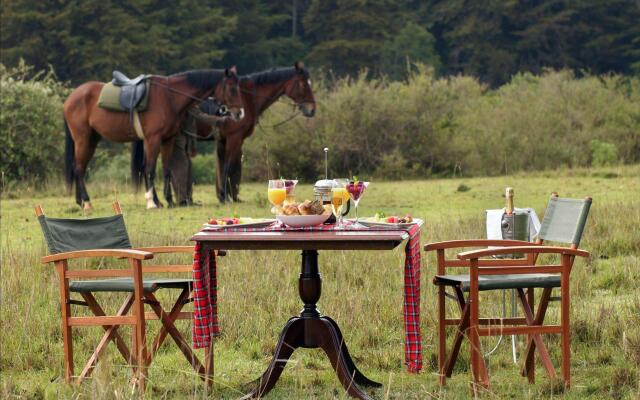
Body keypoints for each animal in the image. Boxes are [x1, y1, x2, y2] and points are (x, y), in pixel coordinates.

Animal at [64, 66, 245, 209]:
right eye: (231, 88)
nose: (239, 114)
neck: (169, 97)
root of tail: (71, 98)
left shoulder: (167, 139)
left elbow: (166, 170)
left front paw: (169, 201)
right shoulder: (153, 139)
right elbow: (150, 169)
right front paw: (153, 202)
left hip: (92, 140)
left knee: (78, 168)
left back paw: (80, 202)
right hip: (83, 139)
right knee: (79, 168)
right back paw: (87, 202)